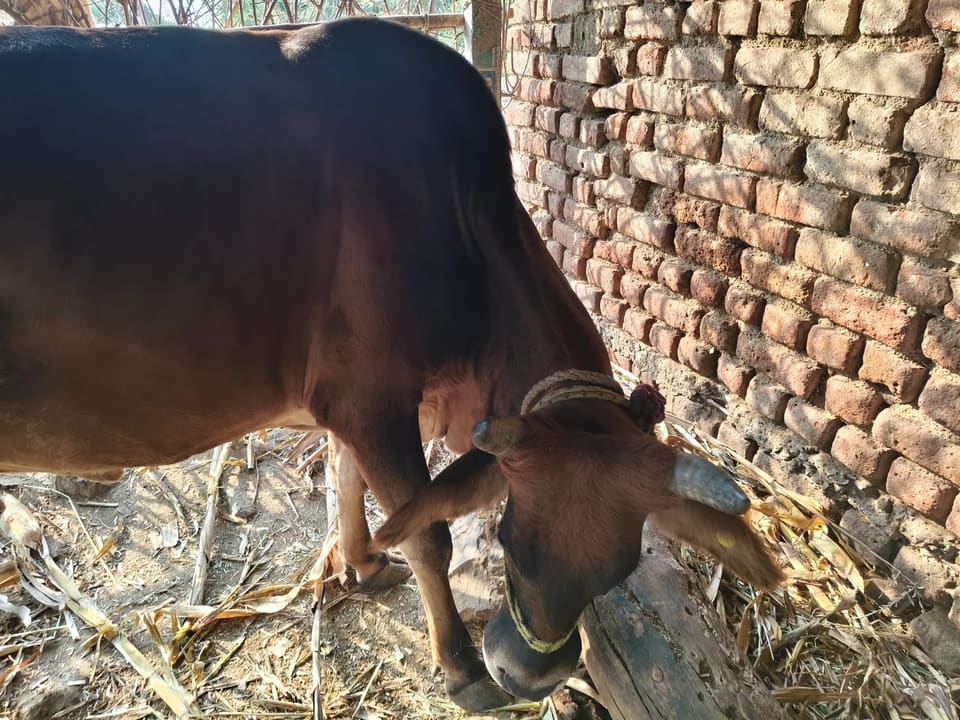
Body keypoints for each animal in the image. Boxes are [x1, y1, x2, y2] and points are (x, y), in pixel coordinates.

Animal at [0, 18, 782, 711]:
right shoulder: (368, 399)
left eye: (621, 567)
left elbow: (351, 482)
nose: (529, 676)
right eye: (508, 537)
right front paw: (463, 671)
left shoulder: (358, 405)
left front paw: (364, 562)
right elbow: (426, 532)